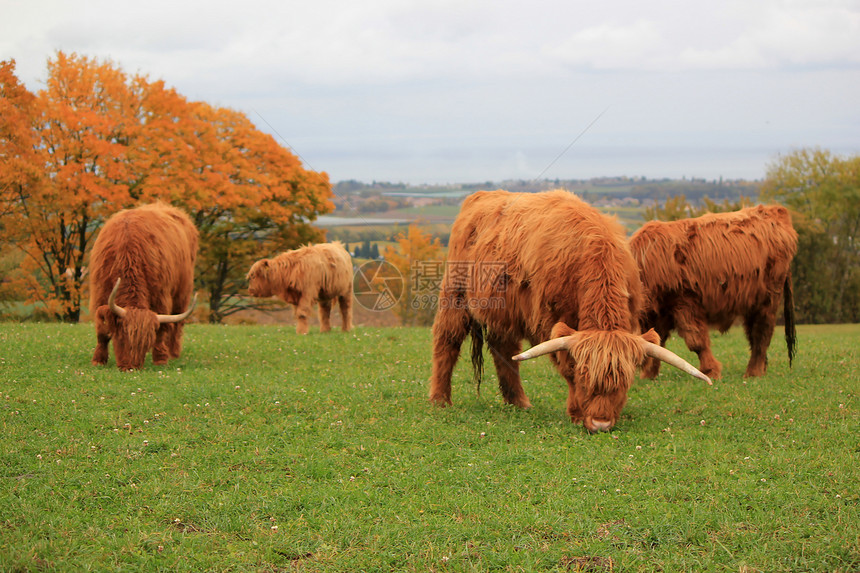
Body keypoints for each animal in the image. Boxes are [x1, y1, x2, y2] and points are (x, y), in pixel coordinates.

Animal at [88, 201, 200, 370]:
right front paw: (98, 360)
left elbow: (161, 330)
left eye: (145, 345)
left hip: (182, 292)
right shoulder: (100, 294)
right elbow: (102, 331)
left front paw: (160, 359)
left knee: (177, 324)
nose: (130, 368)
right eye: (123, 337)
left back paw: (173, 353)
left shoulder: (161, 296)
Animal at [426, 190, 708, 432]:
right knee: (447, 340)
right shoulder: (552, 321)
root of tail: (481, 195)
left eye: (624, 382)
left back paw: (518, 402)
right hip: (455, 294)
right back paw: (440, 400)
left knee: (504, 349)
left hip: (504, 311)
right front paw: (575, 413)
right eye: (584, 378)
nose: (601, 424)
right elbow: (566, 364)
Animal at [624, 204, 800, 380]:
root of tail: (775, 209)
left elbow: (696, 342)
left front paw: (710, 371)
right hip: (752, 302)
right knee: (753, 333)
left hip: (768, 299)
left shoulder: (685, 303)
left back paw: (753, 372)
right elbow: (657, 342)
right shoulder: (659, 312)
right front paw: (649, 374)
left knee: (761, 333)